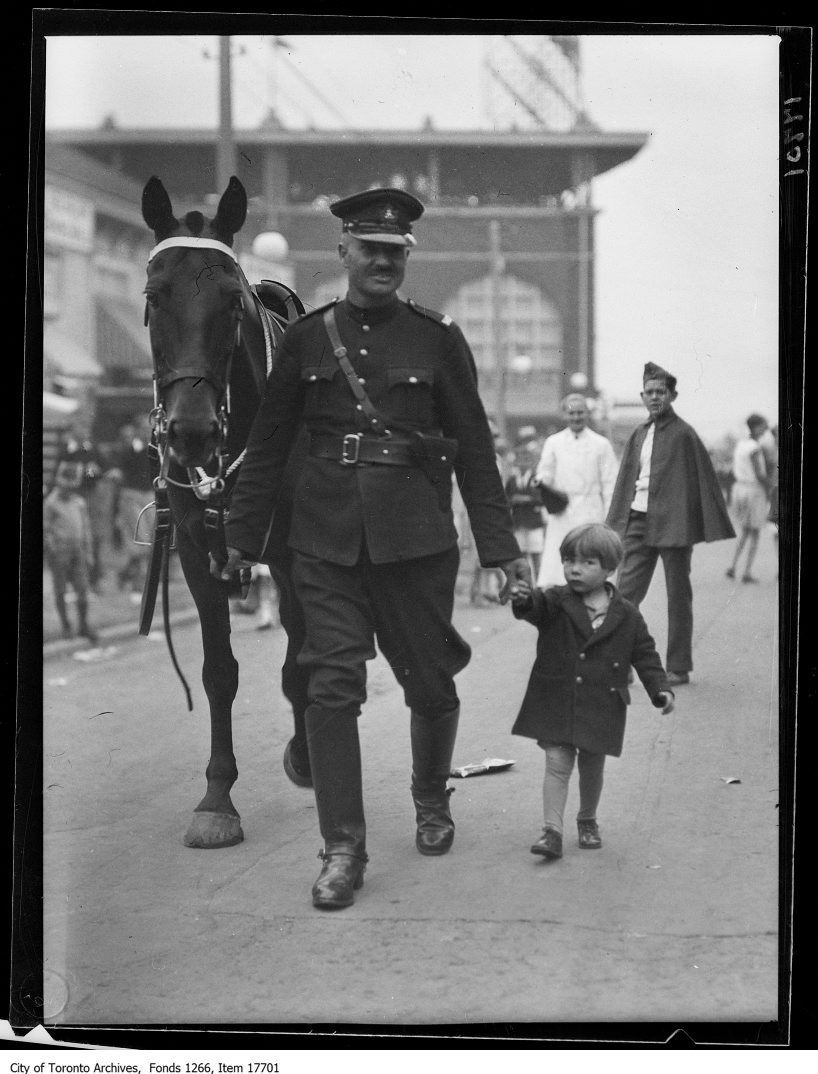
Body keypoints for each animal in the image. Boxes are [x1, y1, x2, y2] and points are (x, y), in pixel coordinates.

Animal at [138, 173, 311, 846]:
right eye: (154, 297)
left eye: (232, 303)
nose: (190, 431)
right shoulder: (195, 549)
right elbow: (218, 671)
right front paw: (217, 795)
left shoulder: (292, 552)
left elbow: (302, 652)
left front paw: (307, 755)